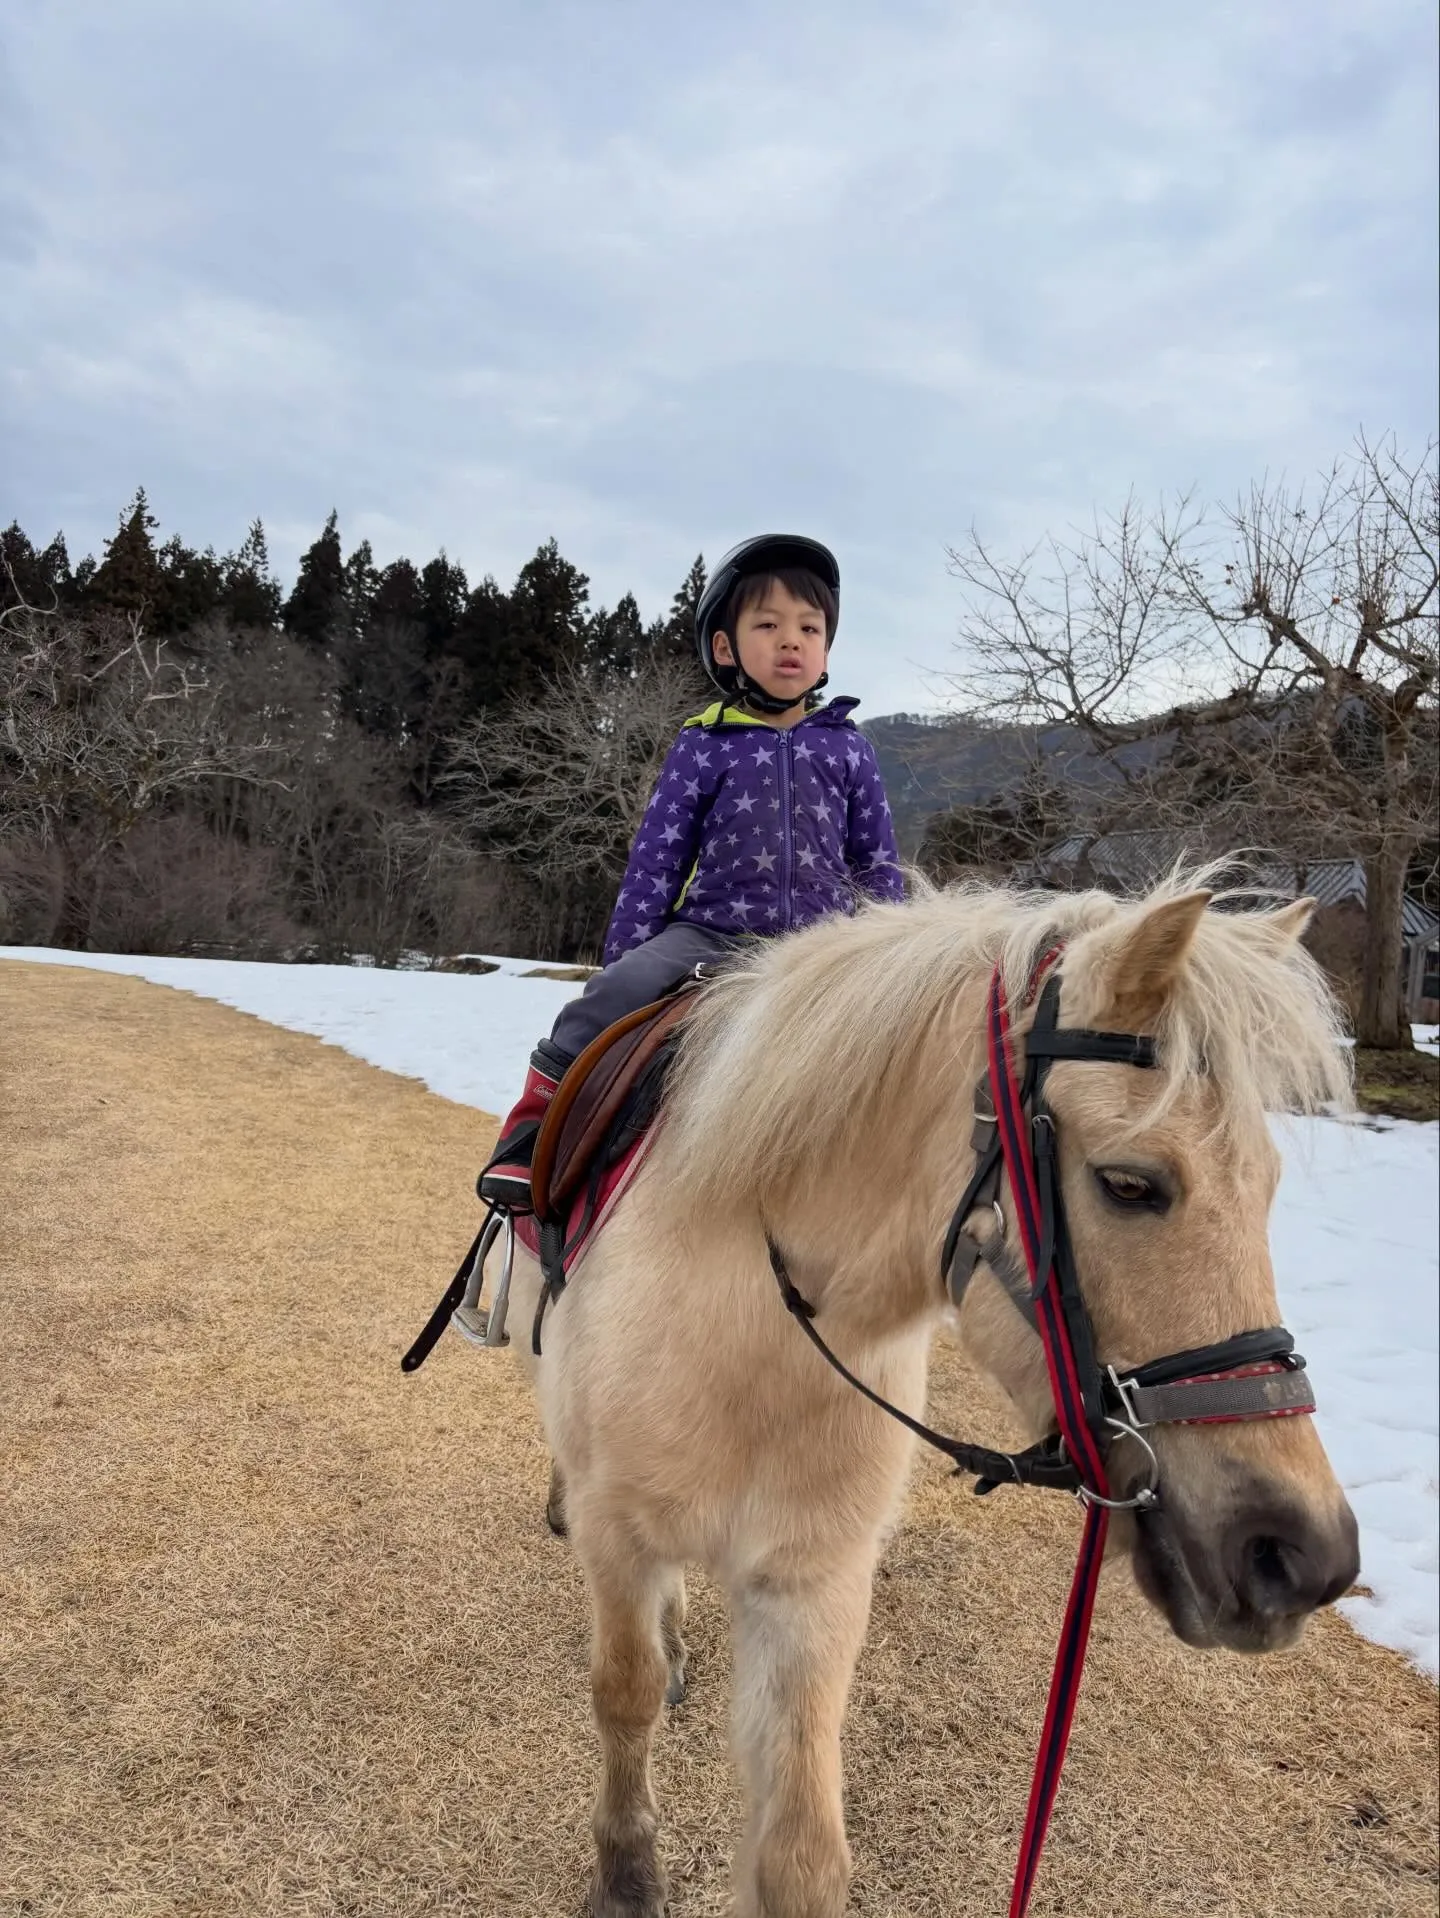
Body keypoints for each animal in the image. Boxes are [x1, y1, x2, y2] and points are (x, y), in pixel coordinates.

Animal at [490, 876, 1361, 1918]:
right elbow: (621, 1693)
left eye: (1268, 1189)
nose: (1301, 1556)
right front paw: (625, 1878)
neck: (749, 1325)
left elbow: (801, 1855)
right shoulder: (618, 1537)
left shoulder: (814, 1577)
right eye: (1129, 1184)